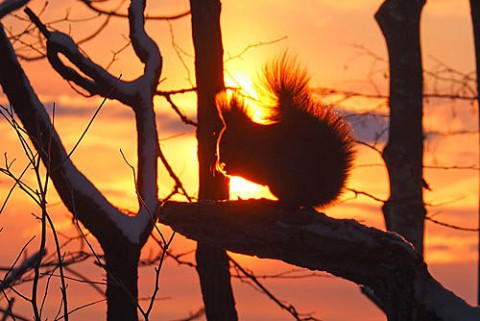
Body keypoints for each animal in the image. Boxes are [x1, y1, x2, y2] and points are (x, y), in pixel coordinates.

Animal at [216, 54, 354, 208]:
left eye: (226, 142)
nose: (220, 160)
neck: (249, 139)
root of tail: (314, 197)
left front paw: (227, 168)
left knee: (291, 201)